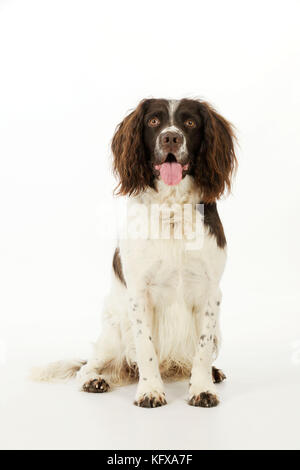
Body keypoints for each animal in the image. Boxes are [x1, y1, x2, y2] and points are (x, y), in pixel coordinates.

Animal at [32, 98, 238, 408]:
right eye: (153, 121)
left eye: (190, 123)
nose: (171, 138)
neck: (171, 210)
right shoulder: (140, 293)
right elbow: (146, 348)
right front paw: (150, 390)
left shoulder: (210, 292)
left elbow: (201, 351)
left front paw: (202, 389)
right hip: (113, 330)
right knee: (88, 366)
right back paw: (95, 380)